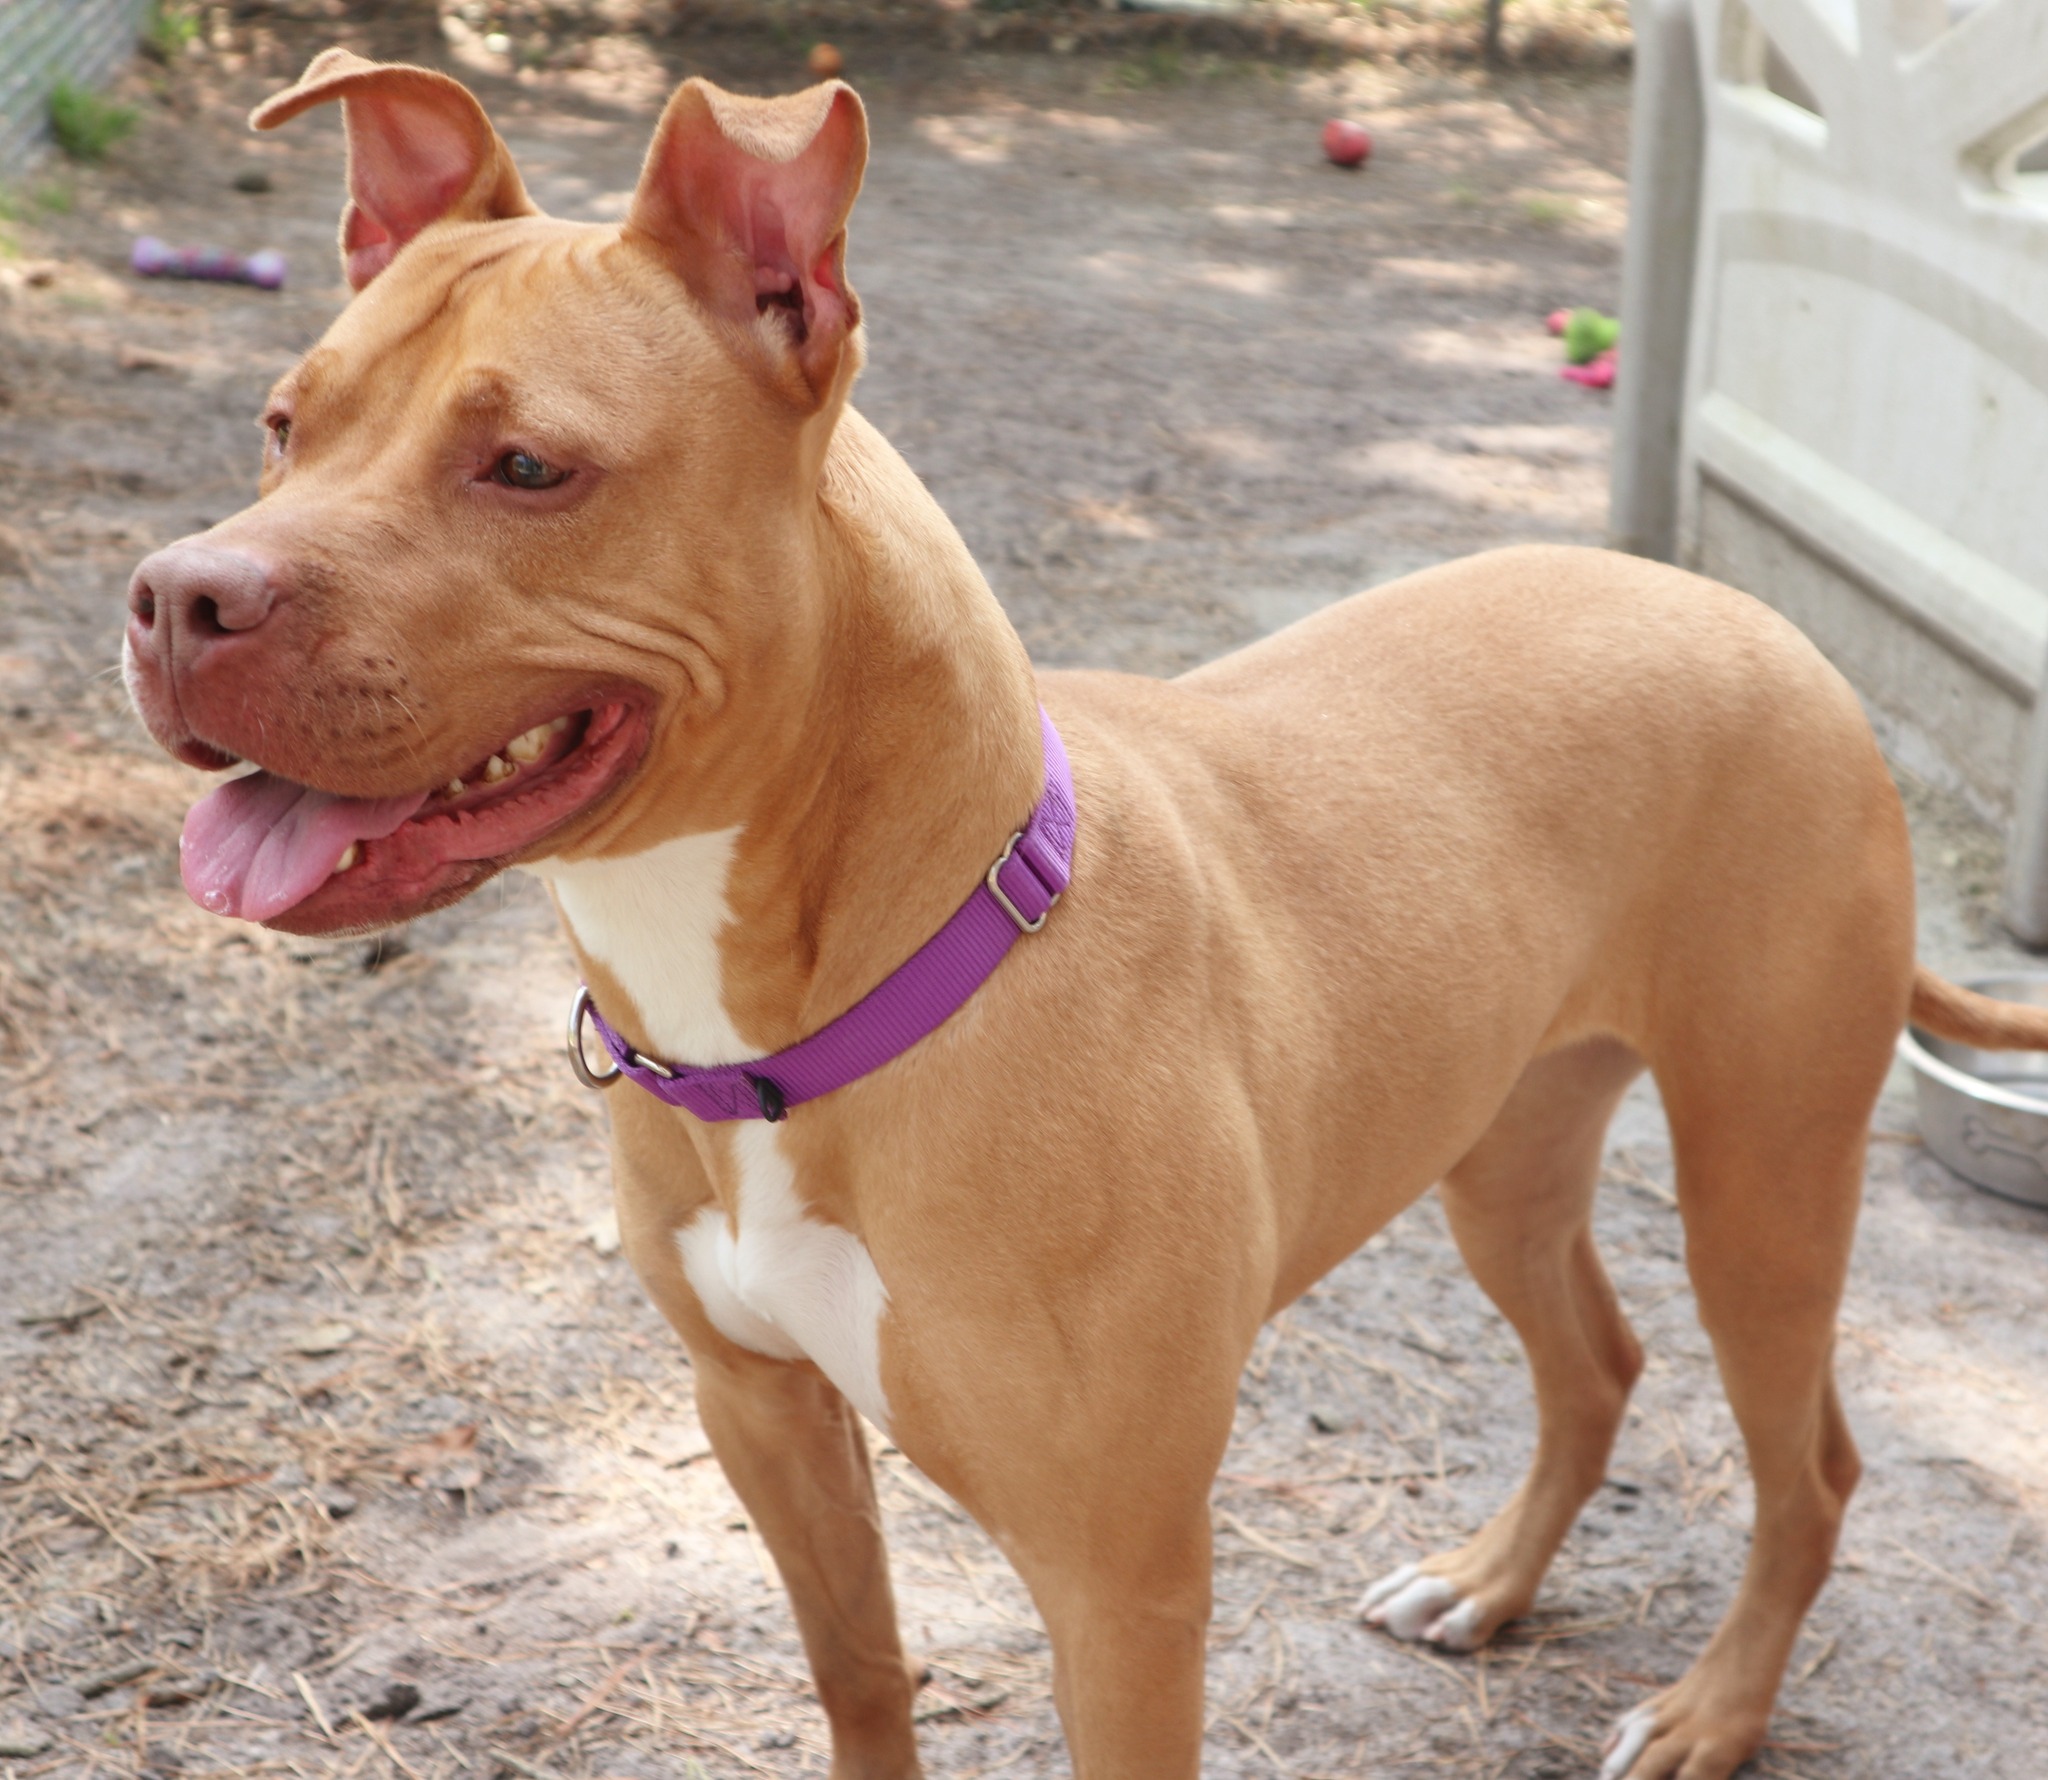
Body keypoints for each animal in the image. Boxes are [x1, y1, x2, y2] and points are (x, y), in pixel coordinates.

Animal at [123, 51, 2048, 1777]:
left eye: (526, 467)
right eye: (284, 426)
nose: (173, 597)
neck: (829, 1005)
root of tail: (1754, 618)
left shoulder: (1119, 1581)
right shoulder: (766, 1422)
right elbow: (863, 1686)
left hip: (1763, 1180)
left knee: (1809, 1468)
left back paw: (1714, 1712)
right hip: (1500, 1147)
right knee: (1595, 1365)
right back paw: (1487, 1584)